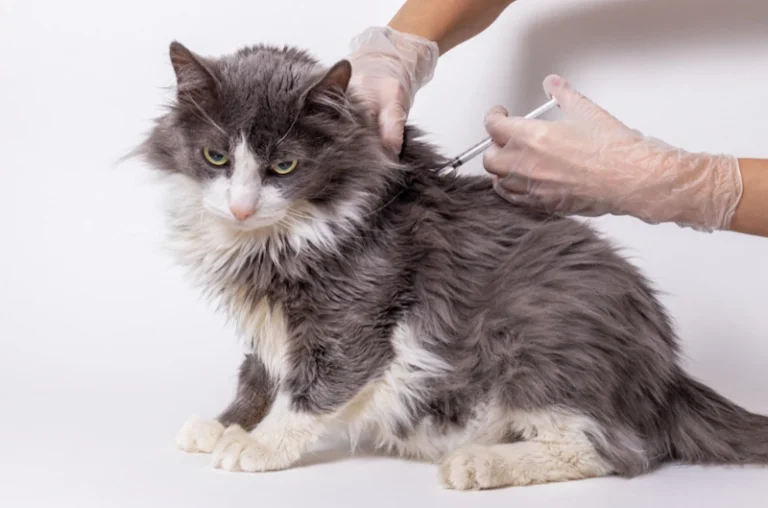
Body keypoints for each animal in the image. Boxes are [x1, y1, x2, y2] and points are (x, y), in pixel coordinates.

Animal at [135, 41, 768, 490]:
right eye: (216, 156)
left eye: (284, 167)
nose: (241, 206)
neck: (275, 240)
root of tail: (669, 376)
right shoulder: (272, 324)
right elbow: (260, 373)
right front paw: (226, 425)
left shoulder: (353, 317)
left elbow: (314, 387)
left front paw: (258, 445)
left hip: (537, 333)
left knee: (615, 451)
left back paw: (480, 463)